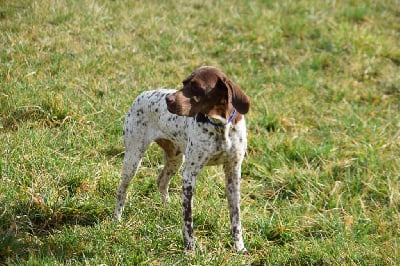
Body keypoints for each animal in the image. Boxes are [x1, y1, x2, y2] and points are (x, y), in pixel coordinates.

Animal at [113, 65, 250, 252]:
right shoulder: (189, 175)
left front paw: (239, 248)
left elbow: (236, 218)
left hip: (175, 159)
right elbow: (188, 219)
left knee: (161, 181)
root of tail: (142, 94)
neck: (220, 126)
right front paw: (190, 249)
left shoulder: (233, 174)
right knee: (122, 190)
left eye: (196, 87)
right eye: (184, 83)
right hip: (133, 159)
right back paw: (116, 219)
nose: (168, 100)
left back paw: (167, 208)